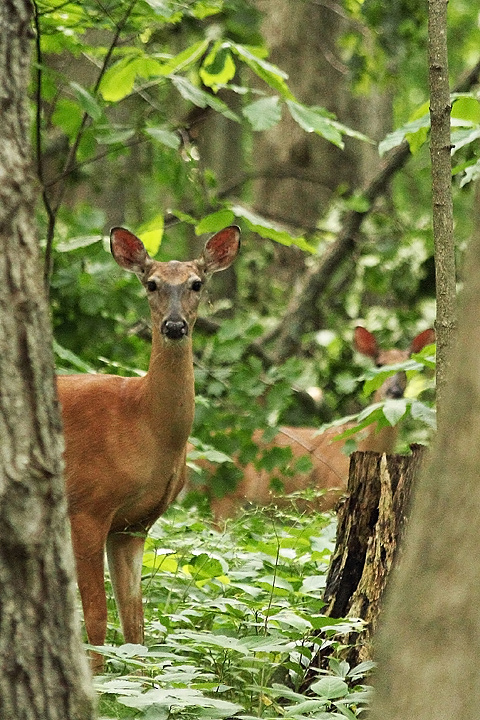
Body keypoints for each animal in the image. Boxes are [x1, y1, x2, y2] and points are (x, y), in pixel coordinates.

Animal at [57, 225, 240, 670]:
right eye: (151, 284)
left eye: (197, 283)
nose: (174, 326)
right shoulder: (86, 507)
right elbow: (96, 619)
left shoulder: (133, 525)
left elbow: (135, 626)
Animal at [194, 326, 434, 522]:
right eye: (379, 365)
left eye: (409, 368)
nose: (394, 391)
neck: (369, 444)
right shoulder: (328, 496)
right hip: (225, 494)